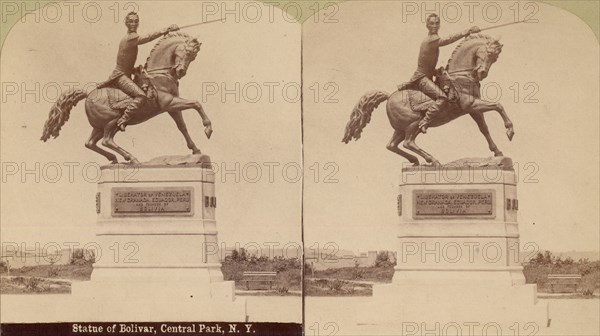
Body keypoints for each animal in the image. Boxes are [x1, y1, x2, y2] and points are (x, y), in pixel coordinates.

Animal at [41, 31, 212, 164]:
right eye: (188, 52)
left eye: (193, 57)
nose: (181, 72)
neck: (159, 74)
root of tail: (88, 94)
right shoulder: (170, 103)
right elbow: (196, 103)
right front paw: (208, 128)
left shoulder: (172, 107)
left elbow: (182, 126)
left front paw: (195, 150)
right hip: (112, 121)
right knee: (107, 140)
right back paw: (131, 158)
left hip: (100, 126)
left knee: (90, 143)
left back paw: (114, 159)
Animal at [342, 34, 516, 165]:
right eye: (489, 53)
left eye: (495, 58)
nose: (482, 73)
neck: (461, 76)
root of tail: (389, 96)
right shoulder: (471, 105)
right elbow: (498, 105)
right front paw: (510, 131)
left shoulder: (473, 110)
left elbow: (484, 129)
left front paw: (497, 152)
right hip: (413, 123)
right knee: (408, 142)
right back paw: (433, 160)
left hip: (401, 128)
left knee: (391, 145)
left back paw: (415, 160)